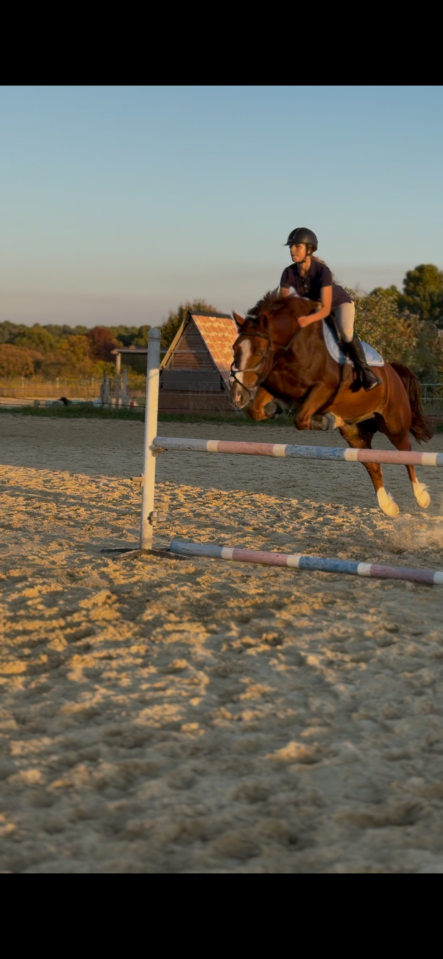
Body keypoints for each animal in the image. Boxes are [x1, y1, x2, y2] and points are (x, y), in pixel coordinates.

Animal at [230, 291, 434, 517]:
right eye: (234, 349)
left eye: (259, 352)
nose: (237, 396)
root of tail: (393, 371)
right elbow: (256, 410)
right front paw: (276, 407)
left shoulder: (324, 387)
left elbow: (300, 419)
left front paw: (327, 419)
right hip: (356, 434)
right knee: (372, 464)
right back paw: (388, 506)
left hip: (394, 424)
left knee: (406, 454)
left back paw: (421, 497)